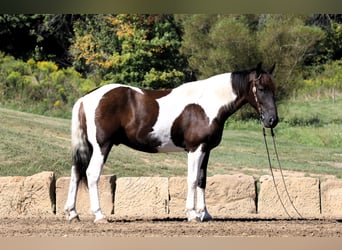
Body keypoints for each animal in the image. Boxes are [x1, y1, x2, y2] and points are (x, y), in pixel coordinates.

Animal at [64, 62, 278, 223]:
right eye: (261, 89)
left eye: (274, 89)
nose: (272, 121)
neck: (208, 104)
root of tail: (86, 97)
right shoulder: (195, 149)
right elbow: (192, 179)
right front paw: (192, 214)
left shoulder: (206, 150)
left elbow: (202, 180)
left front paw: (205, 214)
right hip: (102, 146)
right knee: (92, 174)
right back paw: (99, 215)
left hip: (89, 147)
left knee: (76, 173)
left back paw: (72, 213)